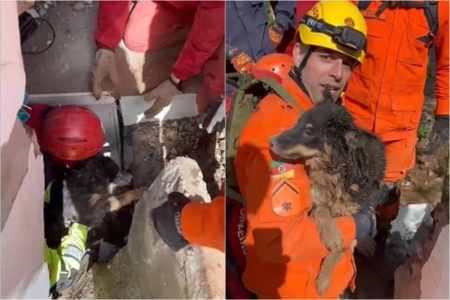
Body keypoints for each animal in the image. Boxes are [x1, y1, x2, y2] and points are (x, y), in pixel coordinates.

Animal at [268, 92, 384, 294]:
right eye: (297, 123)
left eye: (308, 131)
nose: (271, 142)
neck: (335, 169)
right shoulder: (317, 199)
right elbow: (324, 212)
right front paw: (332, 236)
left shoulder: (352, 210)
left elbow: (342, 249)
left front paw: (323, 281)